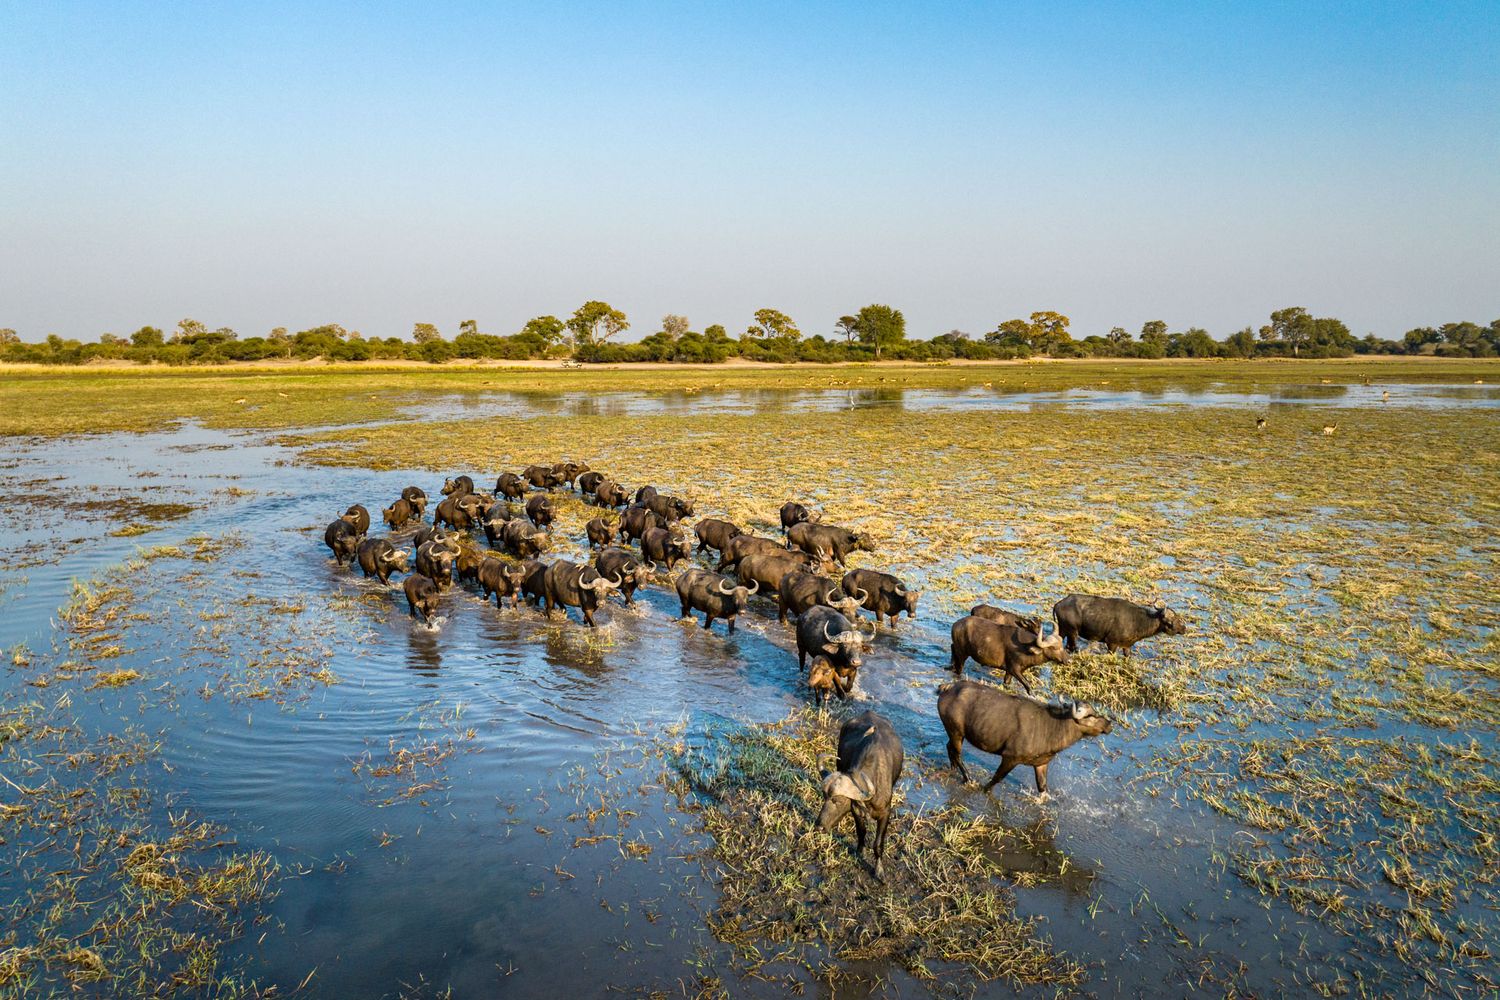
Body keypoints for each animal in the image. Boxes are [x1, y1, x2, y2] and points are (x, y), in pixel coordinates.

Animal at [818, 711, 903, 877]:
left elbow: (878, 843)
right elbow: (861, 831)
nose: (819, 826)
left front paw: (879, 871)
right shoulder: (856, 811)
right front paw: (859, 852)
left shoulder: (886, 813)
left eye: (837, 800)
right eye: (824, 797)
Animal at [937, 680, 1112, 795]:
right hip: (956, 732)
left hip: (956, 733)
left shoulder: (1041, 764)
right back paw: (968, 778)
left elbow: (1042, 787)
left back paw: (953, 768)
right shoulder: (1010, 758)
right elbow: (997, 778)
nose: (1109, 724)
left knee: (949, 748)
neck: (1051, 728)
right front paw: (984, 789)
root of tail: (949, 688)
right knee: (957, 753)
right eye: (1090, 715)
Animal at [1052, 595, 1187, 656]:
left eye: (1178, 618)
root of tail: (1059, 604)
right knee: (1070, 647)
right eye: (1169, 622)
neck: (1137, 621)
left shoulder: (1127, 646)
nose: (1184, 629)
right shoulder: (1111, 643)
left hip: (1063, 631)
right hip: (1072, 632)